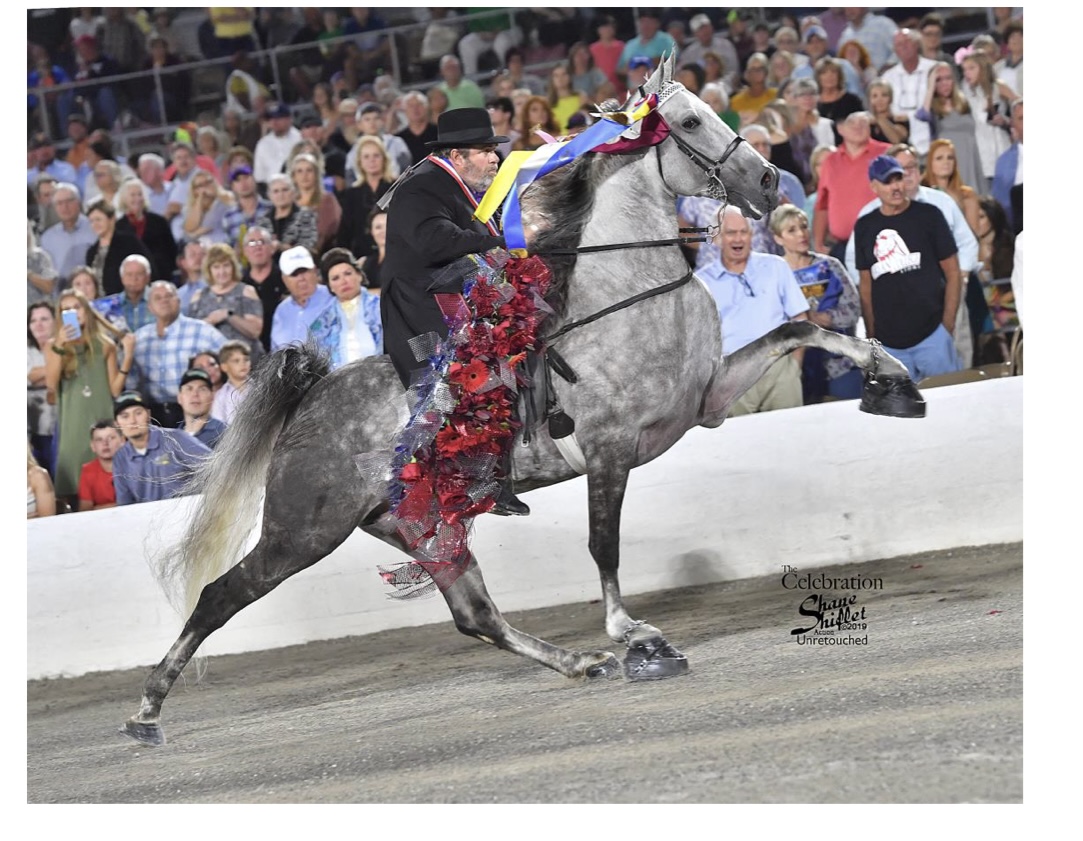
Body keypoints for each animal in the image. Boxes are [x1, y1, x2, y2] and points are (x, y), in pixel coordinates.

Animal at [122, 57, 921, 746]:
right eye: (690, 121)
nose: (770, 178)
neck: (625, 289)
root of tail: (309, 400)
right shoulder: (609, 448)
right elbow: (604, 544)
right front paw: (633, 636)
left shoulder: (705, 400)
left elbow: (801, 328)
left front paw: (891, 382)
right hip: (303, 531)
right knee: (219, 596)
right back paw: (145, 710)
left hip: (418, 527)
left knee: (474, 614)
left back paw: (578, 664)